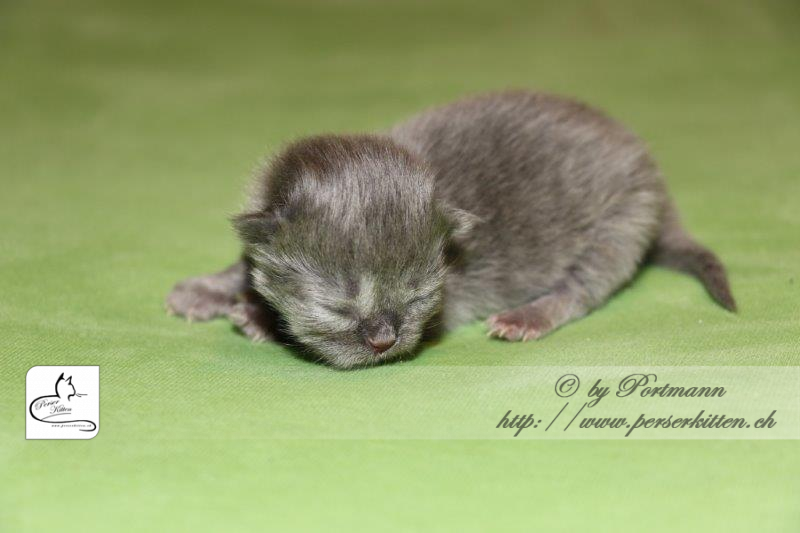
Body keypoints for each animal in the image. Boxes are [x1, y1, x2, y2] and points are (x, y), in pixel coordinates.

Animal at [166, 91, 735, 368]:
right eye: (337, 305)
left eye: (419, 295)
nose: (384, 340)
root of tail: (647, 166)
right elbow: (243, 263)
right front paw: (207, 290)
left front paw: (258, 318)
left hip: (617, 230)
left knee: (579, 293)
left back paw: (528, 316)